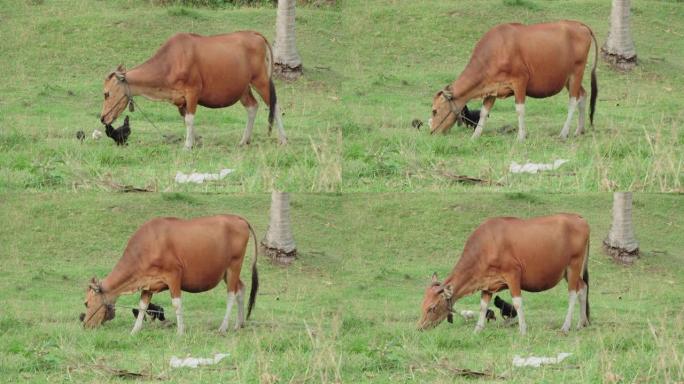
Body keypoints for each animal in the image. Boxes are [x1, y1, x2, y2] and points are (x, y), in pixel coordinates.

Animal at [79, 214, 260, 334]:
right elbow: (142, 306)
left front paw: (180, 331)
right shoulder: (148, 283)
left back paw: (223, 327)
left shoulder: (174, 276)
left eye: (87, 303)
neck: (147, 246)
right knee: (241, 288)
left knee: (231, 294)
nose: (85, 325)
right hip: (226, 272)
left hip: (234, 265)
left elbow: (177, 304)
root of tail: (238, 219)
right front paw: (135, 330)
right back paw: (239, 324)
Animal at [99, 30, 286, 148]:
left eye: (106, 94)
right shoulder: (180, 100)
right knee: (252, 107)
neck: (170, 62)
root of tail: (254, 34)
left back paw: (283, 139)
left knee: (275, 106)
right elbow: (186, 119)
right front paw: (197, 141)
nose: (102, 118)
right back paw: (244, 140)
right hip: (243, 88)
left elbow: (189, 119)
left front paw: (188, 145)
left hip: (261, 81)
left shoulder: (192, 92)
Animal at [416, 214, 588, 334]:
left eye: (432, 307)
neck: (487, 246)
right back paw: (581, 323)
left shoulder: (513, 275)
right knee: (583, 287)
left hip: (574, 265)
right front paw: (477, 330)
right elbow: (483, 306)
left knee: (573, 293)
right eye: (422, 304)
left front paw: (523, 329)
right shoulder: (487, 283)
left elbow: (517, 303)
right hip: (567, 272)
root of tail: (579, 218)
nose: (419, 327)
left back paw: (566, 326)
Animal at [428, 20, 600, 141]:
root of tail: (579, 25)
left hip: (576, 72)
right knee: (583, 95)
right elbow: (484, 112)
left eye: (435, 110)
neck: (495, 51)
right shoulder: (491, 88)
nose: (431, 132)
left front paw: (521, 136)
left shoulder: (520, 81)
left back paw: (564, 133)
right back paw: (579, 130)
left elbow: (519, 109)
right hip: (567, 78)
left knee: (573, 101)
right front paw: (475, 136)